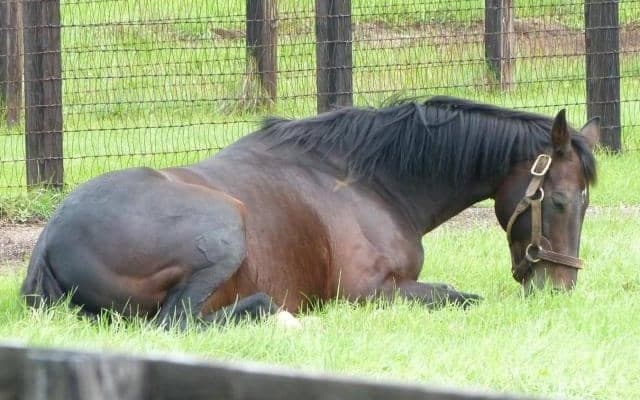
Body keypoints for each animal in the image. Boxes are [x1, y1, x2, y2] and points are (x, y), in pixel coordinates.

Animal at [21, 96, 599, 328]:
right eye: (560, 201)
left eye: (587, 205)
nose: (561, 288)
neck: (368, 180)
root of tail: (49, 241)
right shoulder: (368, 293)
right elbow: (461, 297)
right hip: (224, 227)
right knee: (176, 323)